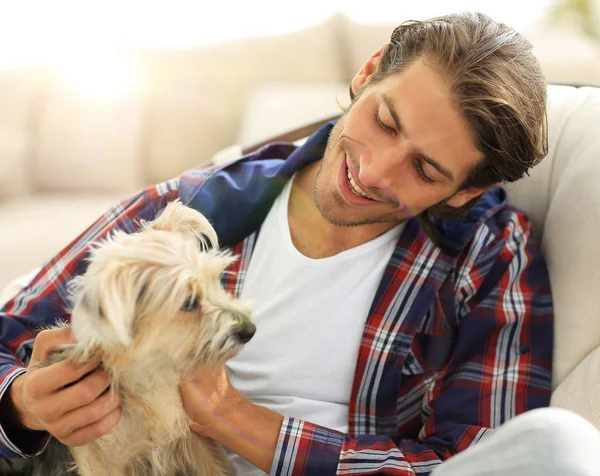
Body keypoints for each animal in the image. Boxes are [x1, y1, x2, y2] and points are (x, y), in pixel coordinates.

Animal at [25, 201, 254, 476]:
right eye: (189, 302)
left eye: (216, 282)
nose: (250, 329)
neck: (149, 376)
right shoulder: (104, 462)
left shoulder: (197, 441)